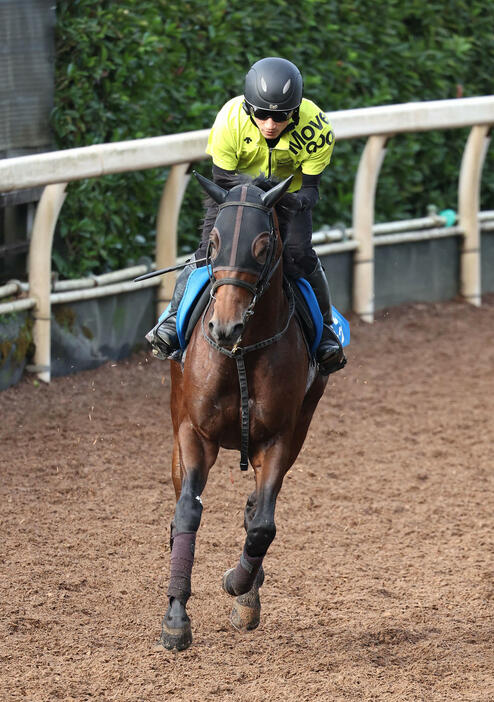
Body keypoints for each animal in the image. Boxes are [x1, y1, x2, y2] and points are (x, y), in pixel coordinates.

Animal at [159, 173, 328, 652]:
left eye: (262, 244)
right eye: (214, 244)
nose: (224, 327)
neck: (241, 352)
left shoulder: (280, 437)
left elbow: (263, 526)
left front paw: (239, 585)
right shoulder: (194, 434)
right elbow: (187, 513)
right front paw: (176, 618)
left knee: (257, 510)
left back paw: (249, 593)